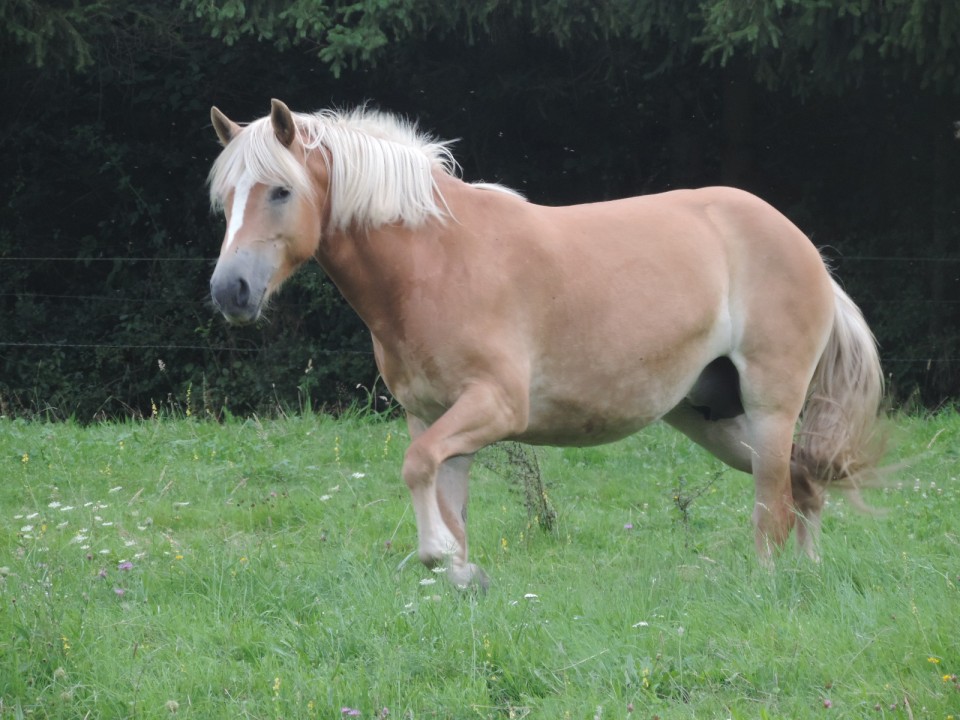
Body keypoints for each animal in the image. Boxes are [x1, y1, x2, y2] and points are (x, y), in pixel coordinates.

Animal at [208, 101, 884, 592]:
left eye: (280, 191)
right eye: (226, 199)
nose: (229, 290)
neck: (436, 262)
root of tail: (803, 246)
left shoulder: (495, 406)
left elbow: (417, 467)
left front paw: (439, 555)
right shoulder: (435, 416)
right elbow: (444, 494)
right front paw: (462, 574)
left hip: (769, 408)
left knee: (773, 508)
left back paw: (769, 587)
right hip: (712, 418)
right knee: (804, 482)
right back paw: (809, 576)